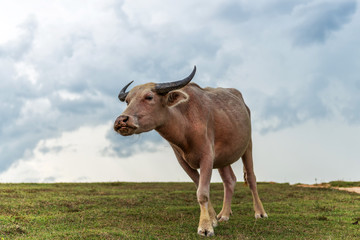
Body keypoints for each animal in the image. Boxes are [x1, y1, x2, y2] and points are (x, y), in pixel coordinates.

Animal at [113, 65, 268, 236]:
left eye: (149, 97)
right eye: (127, 101)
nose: (121, 121)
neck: (185, 128)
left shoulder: (207, 156)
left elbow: (202, 193)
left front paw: (205, 227)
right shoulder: (183, 161)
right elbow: (200, 187)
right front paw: (212, 220)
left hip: (248, 146)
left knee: (251, 178)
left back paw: (260, 212)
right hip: (223, 158)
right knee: (230, 181)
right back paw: (224, 215)